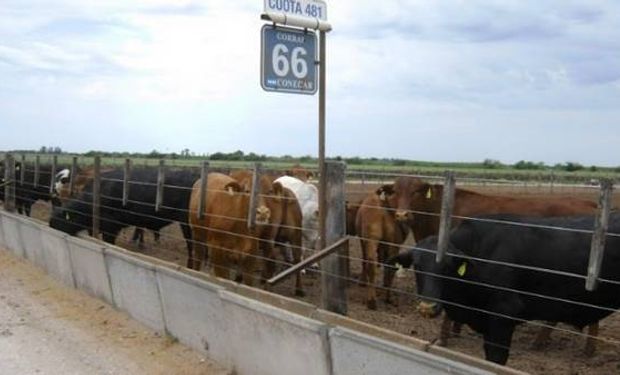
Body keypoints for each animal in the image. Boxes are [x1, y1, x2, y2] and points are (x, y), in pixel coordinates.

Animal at [386, 178, 600, 356]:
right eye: (395, 191)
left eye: (416, 191)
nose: (402, 214)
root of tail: (589, 204)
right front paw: (456, 329)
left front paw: (443, 337)